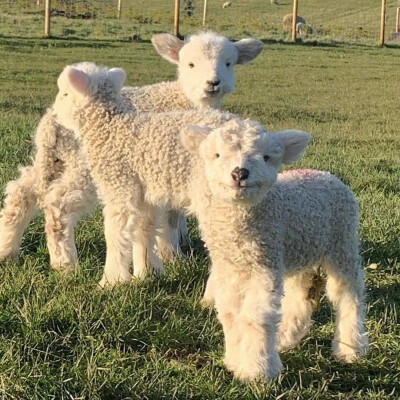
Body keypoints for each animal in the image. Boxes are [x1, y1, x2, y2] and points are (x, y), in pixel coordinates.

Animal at [0, 32, 266, 276]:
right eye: (190, 64)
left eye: (229, 63)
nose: (213, 83)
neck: (183, 99)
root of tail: (51, 122)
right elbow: (169, 216)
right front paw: (171, 254)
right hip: (86, 167)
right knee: (58, 204)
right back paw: (65, 264)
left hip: (53, 161)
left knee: (22, 192)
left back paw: (7, 249)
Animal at [52, 62, 368, 382]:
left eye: (64, 93)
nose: (54, 114)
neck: (111, 128)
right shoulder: (145, 193)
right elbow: (145, 230)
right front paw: (148, 272)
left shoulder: (120, 184)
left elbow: (116, 233)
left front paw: (112, 280)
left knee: (345, 293)